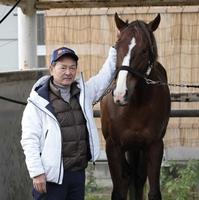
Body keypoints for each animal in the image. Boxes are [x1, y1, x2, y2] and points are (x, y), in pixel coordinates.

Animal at [101, 13, 171, 199]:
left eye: (144, 50)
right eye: (117, 46)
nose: (120, 94)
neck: (135, 107)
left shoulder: (154, 146)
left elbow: (153, 192)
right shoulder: (113, 147)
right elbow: (118, 191)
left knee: (138, 178)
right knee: (128, 177)